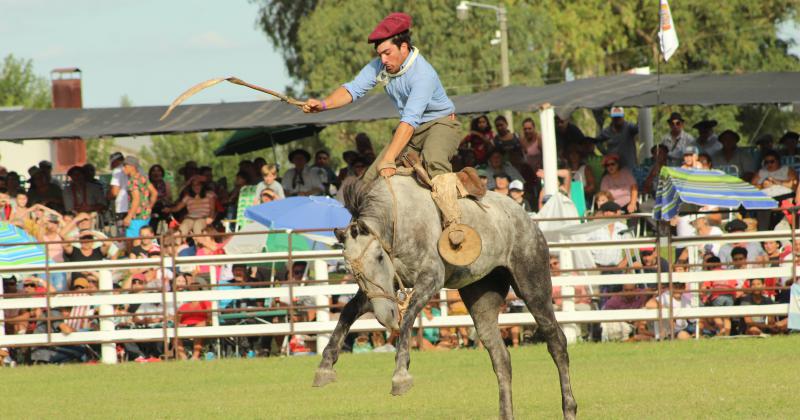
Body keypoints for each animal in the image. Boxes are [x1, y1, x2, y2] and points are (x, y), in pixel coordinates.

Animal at [312, 176, 576, 418]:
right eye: (350, 269)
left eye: (378, 257)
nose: (386, 317)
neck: (397, 221)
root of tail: (527, 220)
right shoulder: (380, 292)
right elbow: (348, 312)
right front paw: (324, 367)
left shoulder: (431, 278)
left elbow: (408, 316)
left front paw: (400, 375)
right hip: (481, 298)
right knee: (501, 358)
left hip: (533, 286)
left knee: (556, 342)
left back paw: (569, 408)